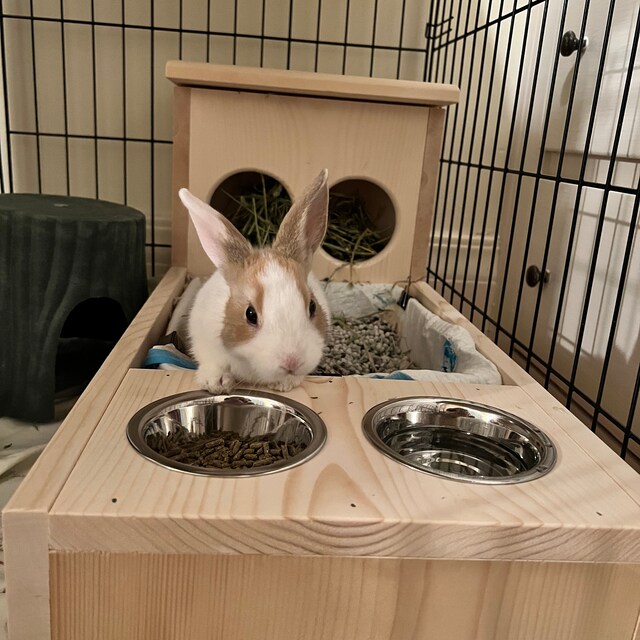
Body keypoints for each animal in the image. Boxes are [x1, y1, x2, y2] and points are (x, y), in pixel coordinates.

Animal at [178, 169, 331, 394]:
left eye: (312, 307)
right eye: (250, 314)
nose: (292, 362)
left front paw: (286, 383)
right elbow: (213, 363)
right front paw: (216, 383)